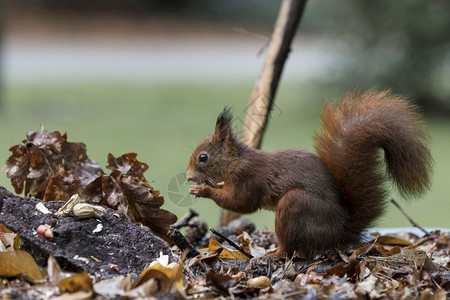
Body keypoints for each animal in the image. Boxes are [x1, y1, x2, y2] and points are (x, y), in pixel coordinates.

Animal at [185, 89, 430, 258]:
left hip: (295, 205)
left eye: (203, 157)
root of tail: (340, 233)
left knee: (289, 248)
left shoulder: (247, 177)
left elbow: (240, 203)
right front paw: (208, 186)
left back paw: (272, 254)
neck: (235, 161)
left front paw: (203, 190)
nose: (187, 176)